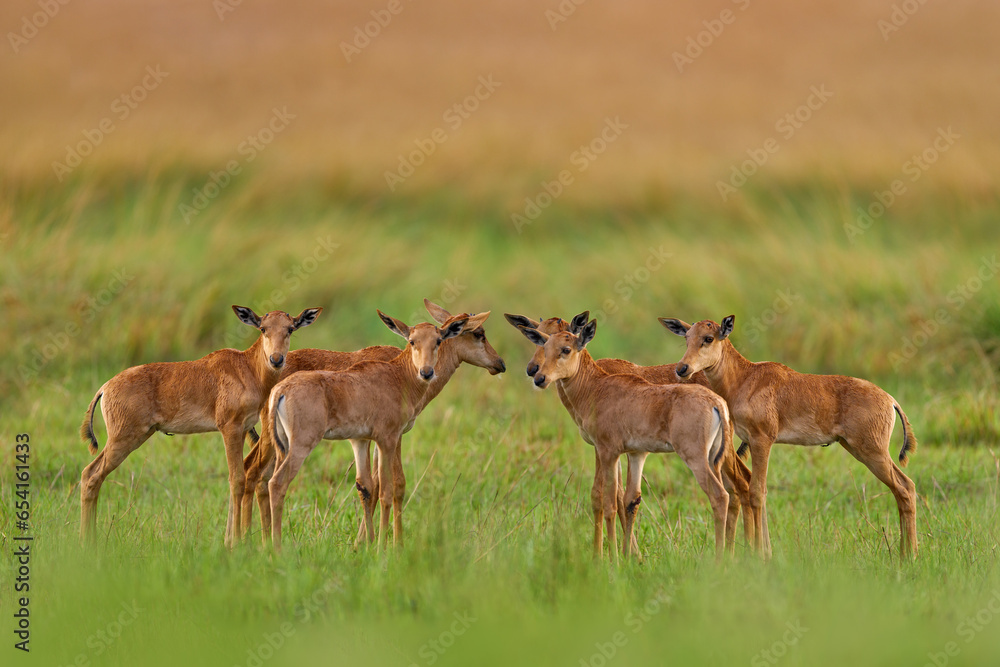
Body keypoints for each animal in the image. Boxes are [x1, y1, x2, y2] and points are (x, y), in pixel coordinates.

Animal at [79, 308, 320, 548]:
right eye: (263, 328)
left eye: (290, 328)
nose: (276, 359)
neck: (246, 366)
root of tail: (106, 387)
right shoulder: (230, 428)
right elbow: (237, 479)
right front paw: (235, 544)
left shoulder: (242, 430)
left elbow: (240, 476)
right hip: (124, 439)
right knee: (91, 475)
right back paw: (87, 543)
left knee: (91, 475)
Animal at [240, 300, 508, 544]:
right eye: (479, 333)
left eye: (439, 340)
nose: (500, 364)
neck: (401, 367)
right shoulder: (391, 436)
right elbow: (393, 485)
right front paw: (386, 543)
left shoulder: (368, 438)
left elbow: (369, 486)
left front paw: (364, 543)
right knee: (257, 474)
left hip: (279, 443)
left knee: (258, 476)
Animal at [504, 312, 752, 552]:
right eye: (540, 340)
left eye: (566, 348)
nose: (537, 375)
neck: (597, 383)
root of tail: (717, 402)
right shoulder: (631, 452)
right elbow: (625, 499)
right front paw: (627, 556)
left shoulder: (607, 451)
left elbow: (609, 500)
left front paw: (609, 557)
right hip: (715, 457)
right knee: (737, 489)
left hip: (698, 458)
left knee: (727, 492)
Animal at [660, 316, 916, 560]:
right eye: (687, 337)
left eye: (709, 338)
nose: (682, 369)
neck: (746, 377)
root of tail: (890, 400)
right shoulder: (753, 442)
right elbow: (758, 491)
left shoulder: (762, 440)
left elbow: (756, 492)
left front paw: (759, 555)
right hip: (860, 449)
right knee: (903, 489)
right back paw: (904, 555)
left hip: (872, 452)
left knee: (905, 487)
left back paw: (910, 556)